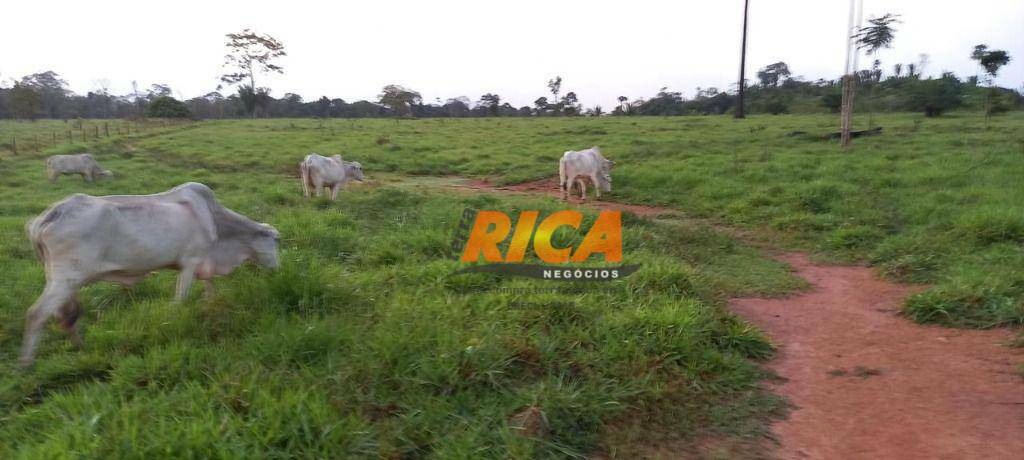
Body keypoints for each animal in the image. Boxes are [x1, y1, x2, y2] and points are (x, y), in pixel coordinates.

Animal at [18, 182, 280, 364]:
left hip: (64, 282)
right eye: (276, 242)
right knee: (36, 314)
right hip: (66, 279)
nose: (277, 269)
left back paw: (81, 348)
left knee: (64, 316)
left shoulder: (203, 265)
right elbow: (179, 302)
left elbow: (210, 291)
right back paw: (25, 364)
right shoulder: (190, 263)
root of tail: (48, 215)